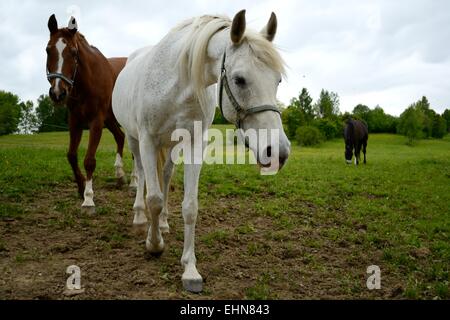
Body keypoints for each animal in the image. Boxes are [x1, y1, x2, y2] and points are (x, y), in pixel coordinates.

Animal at [46, 14, 127, 212]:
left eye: (74, 52)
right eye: (47, 50)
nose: (58, 93)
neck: (87, 80)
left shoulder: (96, 121)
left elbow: (89, 160)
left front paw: (89, 198)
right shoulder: (75, 120)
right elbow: (71, 155)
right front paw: (81, 187)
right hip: (110, 119)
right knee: (120, 137)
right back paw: (120, 175)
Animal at [110, 10, 290, 292]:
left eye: (277, 80)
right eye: (239, 80)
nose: (278, 152)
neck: (176, 82)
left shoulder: (194, 144)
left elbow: (190, 207)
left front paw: (190, 269)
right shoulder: (148, 140)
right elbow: (154, 199)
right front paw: (154, 244)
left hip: (172, 145)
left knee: (166, 175)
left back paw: (163, 223)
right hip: (133, 138)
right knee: (140, 174)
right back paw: (140, 219)